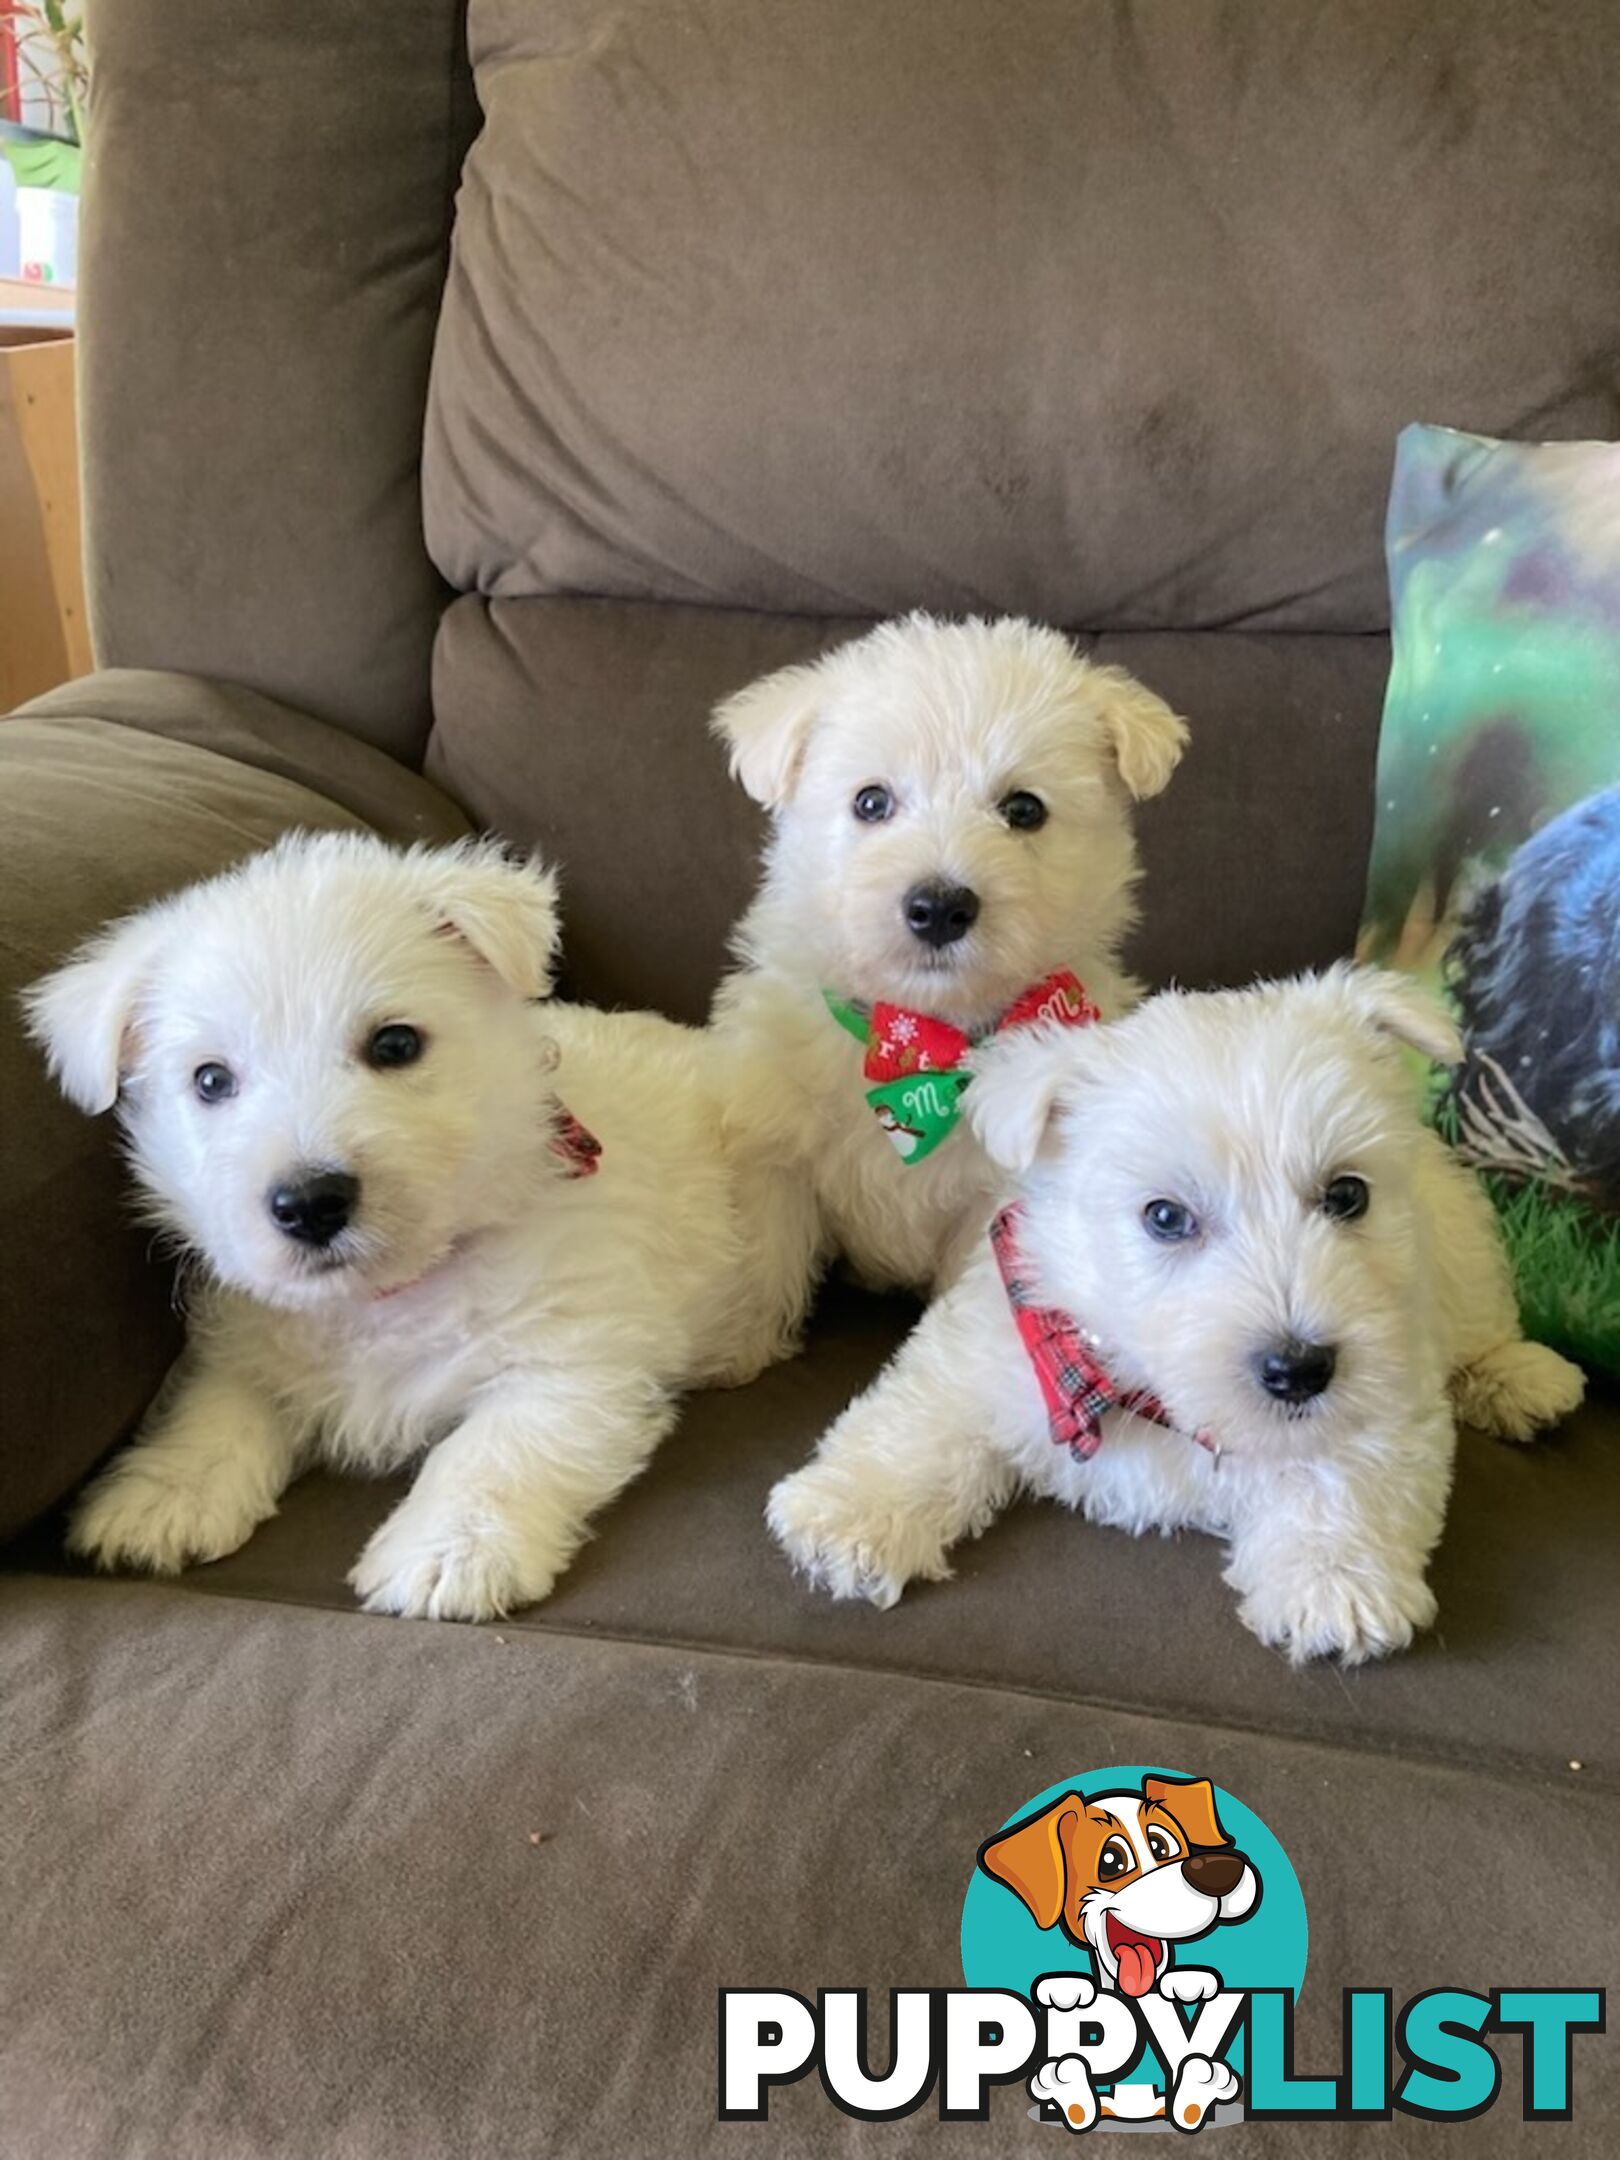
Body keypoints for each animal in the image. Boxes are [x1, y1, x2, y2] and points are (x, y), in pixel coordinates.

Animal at [30, 833, 807, 1615]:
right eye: (211, 1080)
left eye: (396, 1044)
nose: (309, 1203)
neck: (388, 1292)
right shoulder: (250, 1334)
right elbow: (216, 1405)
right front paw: (162, 1496)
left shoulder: (575, 1353)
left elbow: (492, 1450)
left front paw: (448, 1552)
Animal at [708, 609, 1192, 1296]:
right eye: (871, 801)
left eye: (1023, 808)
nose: (939, 908)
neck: (924, 1040)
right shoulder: (775, 1158)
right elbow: (762, 1274)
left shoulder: (994, 1202)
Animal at [768, 972, 1589, 1658]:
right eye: (1165, 1217)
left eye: (1347, 1195)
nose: (1299, 1370)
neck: (1144, 1392)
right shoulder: (990, 1343)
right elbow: (921, 1422)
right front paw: (849, 1518)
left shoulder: (1385, 1382)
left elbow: (1344, 1472)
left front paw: (1334, 1587)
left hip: (1457, 1246)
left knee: (1483, 1323)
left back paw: (1524, 1378)